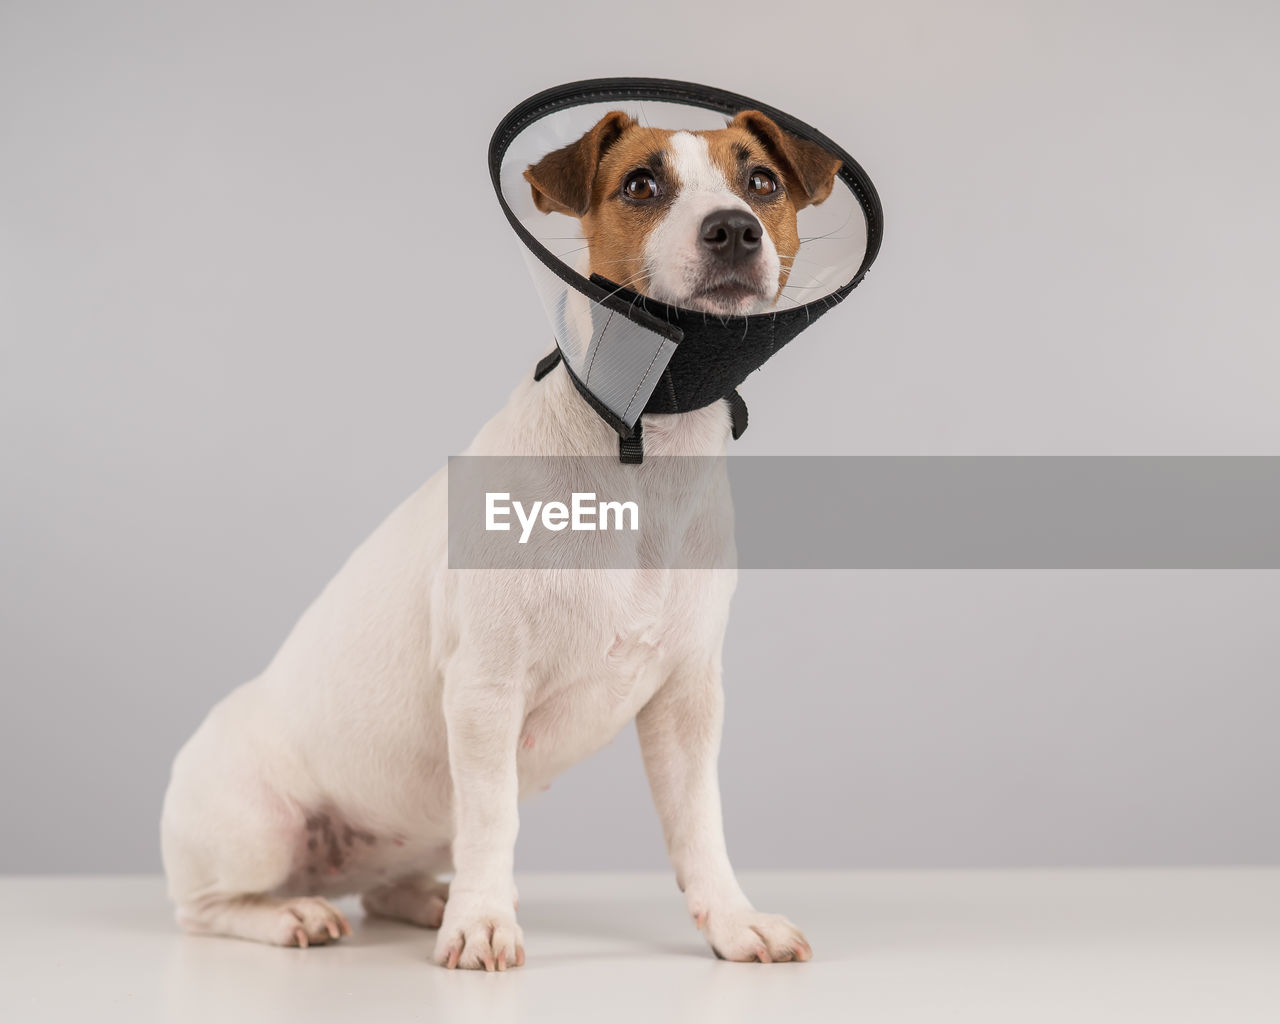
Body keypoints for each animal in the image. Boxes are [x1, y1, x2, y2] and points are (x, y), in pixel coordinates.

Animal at [162, 108, 839, 972]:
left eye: (762, 182)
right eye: (640, 185)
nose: (733, 229)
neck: (645, 452)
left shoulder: (687, 702)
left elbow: (698, 825)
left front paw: (732, 920)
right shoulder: (486, 692)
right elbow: (493, 820)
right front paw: (484, 922)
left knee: (385, 884)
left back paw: (423, 897)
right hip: (256, 828)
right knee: (205, 909)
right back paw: (294, 915)